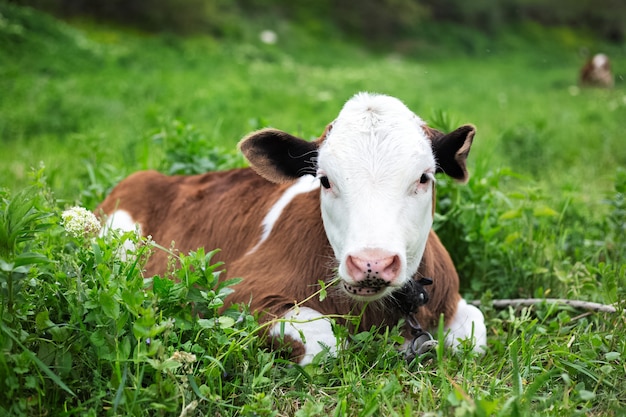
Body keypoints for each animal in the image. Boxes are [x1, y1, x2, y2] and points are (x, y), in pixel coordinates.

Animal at [98, 92, 488, 364]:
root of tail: (148, 177)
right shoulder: (237, 297)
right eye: (325, 180)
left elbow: (474, 331)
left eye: (423, 178)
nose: (371, 263)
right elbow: (326, 341)